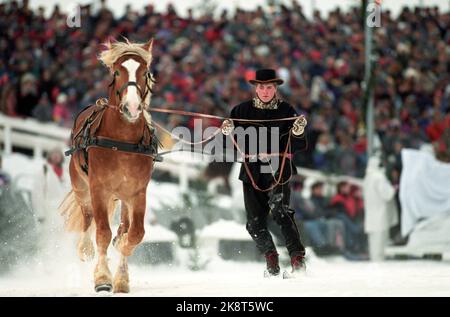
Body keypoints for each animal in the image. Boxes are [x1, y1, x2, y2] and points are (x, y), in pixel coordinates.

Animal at [58, 38, 156, 292]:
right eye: (117, 71)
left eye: (145, 72)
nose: (132, 107)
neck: (122, 142)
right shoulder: (99, 189)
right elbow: (102, 232)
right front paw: (102, 278)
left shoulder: (137, 193)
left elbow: (134, 233)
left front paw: (121, 274)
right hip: (82, 188)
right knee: (87, 218)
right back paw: (85, 248)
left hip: (122, 197)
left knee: (124, 226)